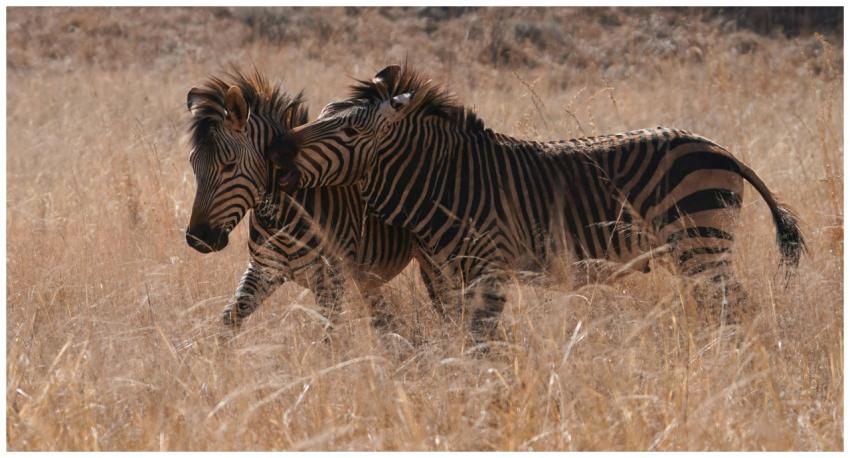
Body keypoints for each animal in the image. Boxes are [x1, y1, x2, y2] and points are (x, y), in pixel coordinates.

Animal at [184, 69, 432, 331]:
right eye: (193, 164)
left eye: (229, 166)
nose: (197, 238)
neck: (279, 219)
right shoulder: (263, 269)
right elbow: (228, 319)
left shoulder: (329, 281)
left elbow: (328, 334)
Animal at [273, 64, 806, 342]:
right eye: (321, 114)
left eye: (348, 132)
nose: (277, 153)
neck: (442, 180)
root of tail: (722, 149)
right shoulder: (442, 272)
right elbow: (459, 336)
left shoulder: (486, 267)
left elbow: (481, 340)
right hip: (696, 246)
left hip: (700, 238)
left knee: (734, 306)